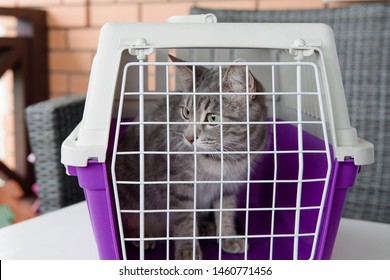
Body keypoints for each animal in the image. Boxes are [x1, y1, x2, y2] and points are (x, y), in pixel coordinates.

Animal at [116, 55, 268, 260]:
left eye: (212, 118)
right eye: (186, 113)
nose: (188, 138)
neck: (222, 156)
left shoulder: (228, 186)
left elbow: (226, 211)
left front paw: (228, 236)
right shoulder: (178, 185)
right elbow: (185, 220)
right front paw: (188, 251)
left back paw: (204, 226)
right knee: (129, 220)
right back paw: (142, 235)